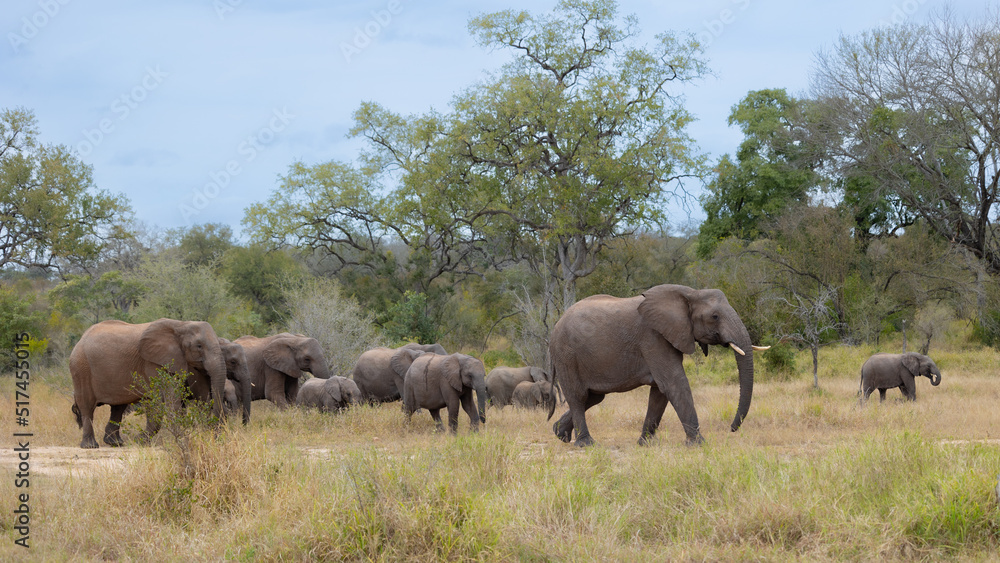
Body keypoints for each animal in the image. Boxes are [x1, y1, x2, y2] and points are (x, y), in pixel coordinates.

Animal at [70, 322, 227, 450]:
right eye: (199, 346)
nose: (216, 438)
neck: (181, 325)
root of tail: (81, 339)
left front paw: (141, 441)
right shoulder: (153, 362)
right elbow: (164, 398)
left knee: (118, 407)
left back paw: (115, 443)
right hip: (81, 368)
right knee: (87, 407)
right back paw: (90, 446)